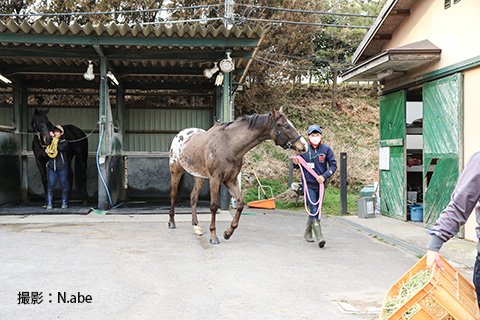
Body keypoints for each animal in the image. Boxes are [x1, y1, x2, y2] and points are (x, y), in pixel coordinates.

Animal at [169, 106, 308, 244]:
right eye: (285, 126)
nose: (304, 145)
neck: (229, 145)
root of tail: (179, 135)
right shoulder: (215, 179)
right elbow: (213, 206)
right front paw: (213, 236)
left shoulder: (231, 180)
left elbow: (240, 204)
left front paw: (228, 232)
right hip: (176, 171)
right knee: (173, 194)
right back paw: (171, 222)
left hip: (198, 176)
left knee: (193, 197)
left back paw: (196, 226)